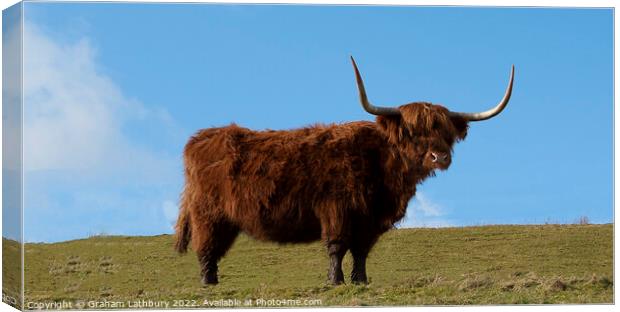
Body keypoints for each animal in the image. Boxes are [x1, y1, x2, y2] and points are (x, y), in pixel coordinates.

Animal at [174, 56, 512, 286]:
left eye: (446, 133)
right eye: (412, 132)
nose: (439, 156)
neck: (381, 167)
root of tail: (201, 138)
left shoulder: (371, 220)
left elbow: (361, 250)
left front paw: (360, 281)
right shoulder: (336, 209)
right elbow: (337, 246)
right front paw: (335, 281)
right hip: (208, 213)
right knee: (206, 248)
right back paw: (208, 283)